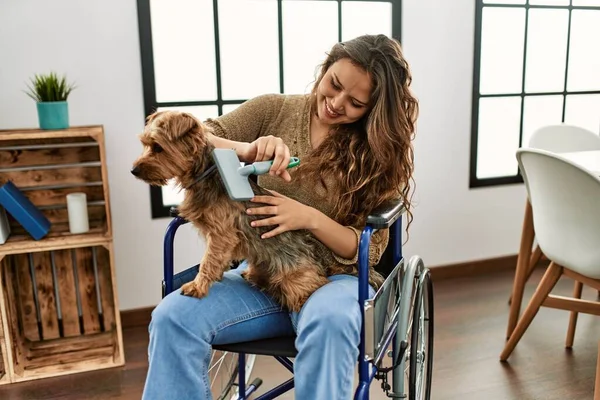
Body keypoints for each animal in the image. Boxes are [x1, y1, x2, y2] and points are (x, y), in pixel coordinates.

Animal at [131, 110, 330, 312]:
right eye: (145, 144)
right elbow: (218, 258)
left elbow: (209, 260)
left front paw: (197, 286)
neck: (205, 174)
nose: (134, 170)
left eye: (158, 147)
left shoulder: (222, 234)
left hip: (294, 279)